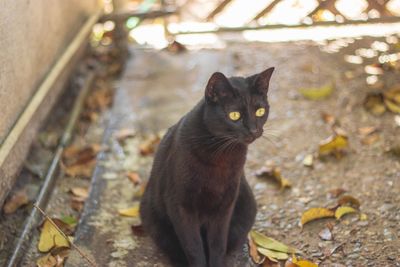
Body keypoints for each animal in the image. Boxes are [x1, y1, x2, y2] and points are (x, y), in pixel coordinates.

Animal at [141, 67, 276, 267]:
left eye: (260, 111)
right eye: (234, 115)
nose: (253, 130)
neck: (221, 154)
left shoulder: (225, 205)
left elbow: (217, 244)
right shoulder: (181, 207)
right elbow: (193, 247)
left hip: (247, 207)